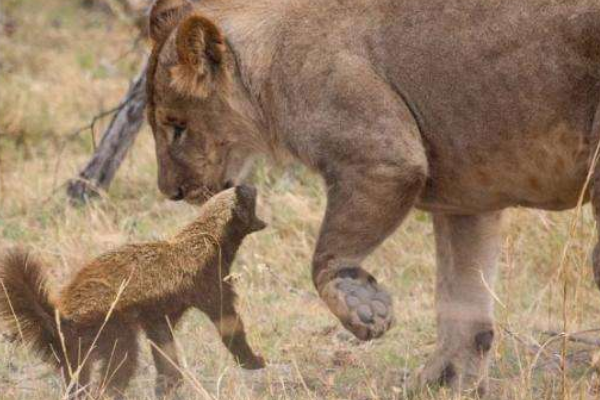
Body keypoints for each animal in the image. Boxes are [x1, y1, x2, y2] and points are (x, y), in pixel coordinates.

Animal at [0, 186, 264, 398]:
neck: (208, 237)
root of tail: (60, 318)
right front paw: (253, 361)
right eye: (247, 197)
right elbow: (228, 322)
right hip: (111, 328)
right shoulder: (208, 280)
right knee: (121, 363)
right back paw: (110, 393)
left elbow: (163, 346)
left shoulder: (158, 313)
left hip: (76, 351)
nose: (251, 185)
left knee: (78, 379)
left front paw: (168, 384)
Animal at [144, 0, 600, 396]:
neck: (265, 66)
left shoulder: (383, 158)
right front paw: (442, 383)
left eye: (177, 126)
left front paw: (364, 307)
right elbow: (463, 305)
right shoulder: (467, 201)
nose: (171, 191)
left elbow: (325, 256)